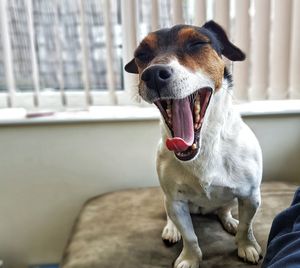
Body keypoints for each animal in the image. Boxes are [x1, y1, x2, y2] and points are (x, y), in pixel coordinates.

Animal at [124, 21, 262, 268]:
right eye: (141, 55)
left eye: (197, 43)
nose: (153, 74)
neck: (205, 145)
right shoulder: (176, 202)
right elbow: (190, 236)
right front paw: (190, 258)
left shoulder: (250, 196)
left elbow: (247, 227)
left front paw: (246, 245)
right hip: (168, 201)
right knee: (171, 216)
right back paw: (171, 230)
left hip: (230, 199)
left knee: (224, 210)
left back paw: (230, 221)